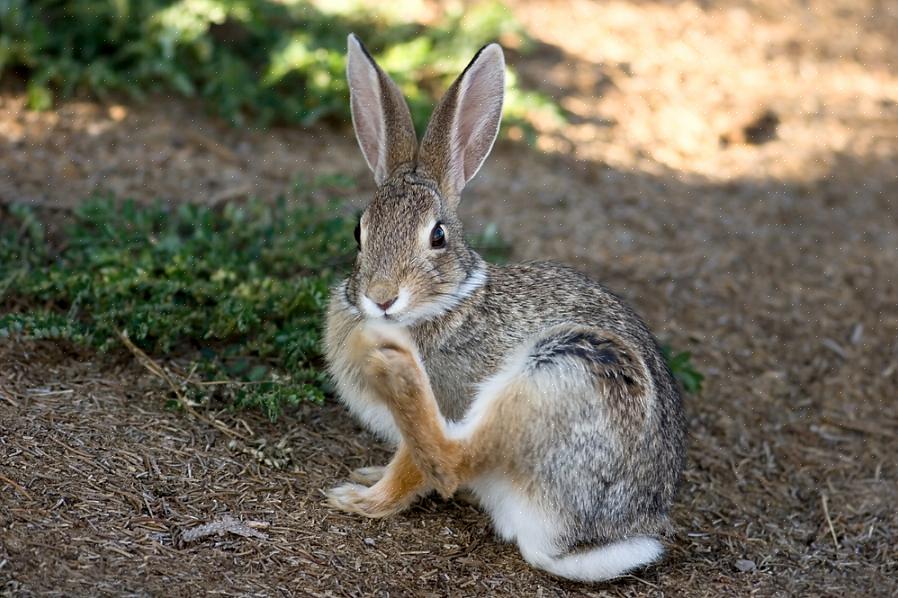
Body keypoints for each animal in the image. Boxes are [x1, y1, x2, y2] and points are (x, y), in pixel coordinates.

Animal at [324, 35, 688, 584]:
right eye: (357, 232)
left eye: (438, 236)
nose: (382, 298)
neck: (447, 302)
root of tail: (563, 543)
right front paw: (369, 474)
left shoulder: (453, 398)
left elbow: (416, 468)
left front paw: (365, 499)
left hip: (564, 373)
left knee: (454, 460)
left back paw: (396, 370)